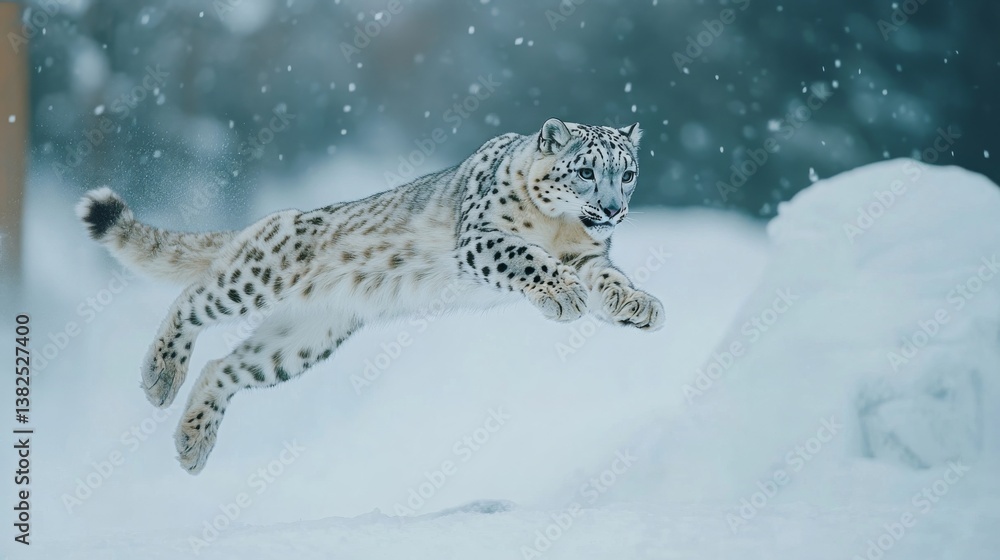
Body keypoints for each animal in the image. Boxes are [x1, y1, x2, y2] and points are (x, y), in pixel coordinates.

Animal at [76, 117, 665, 474]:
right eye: (585, 170)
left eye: (628, 174)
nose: (612, 209)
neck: (562, 230)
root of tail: (266, 221)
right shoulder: (481, 239)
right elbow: (527, 258)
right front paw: (563, 295)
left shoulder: (590, 256)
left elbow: (609, 278)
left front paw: (637, 306)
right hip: (257, 278)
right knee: (192, 299)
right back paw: (159, 377)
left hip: (301, 340)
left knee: (224, 366)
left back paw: (193, 443)